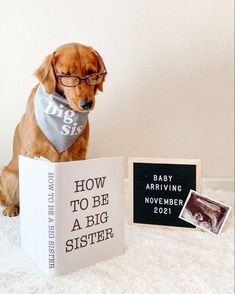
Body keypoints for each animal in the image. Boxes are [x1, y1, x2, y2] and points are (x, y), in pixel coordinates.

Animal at [0, 42, 106, 216]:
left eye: (91, 73)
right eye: (66, 74)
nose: (87, 104)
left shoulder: (79, 153)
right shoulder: (33, 153)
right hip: (10, 176)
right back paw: (11, 209)